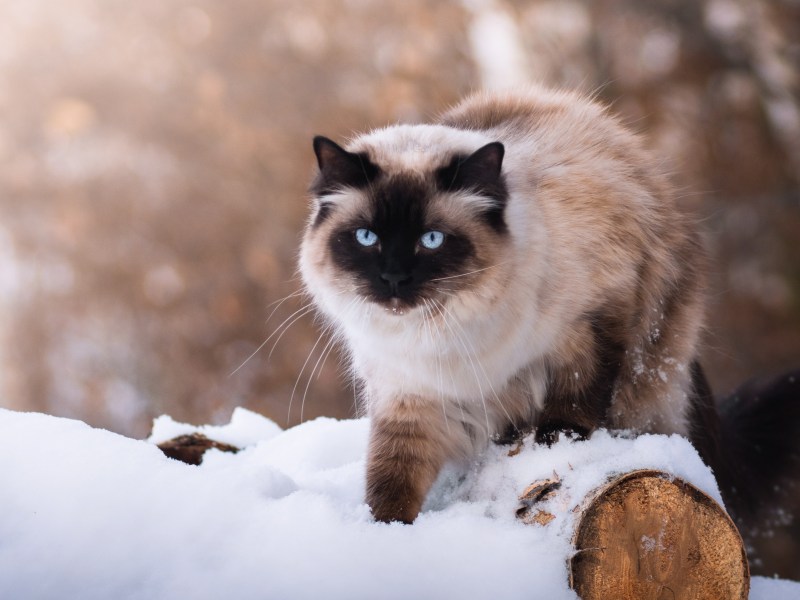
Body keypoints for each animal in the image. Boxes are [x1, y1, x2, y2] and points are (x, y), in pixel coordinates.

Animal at [300, 85, 800, 528]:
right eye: (367, 237)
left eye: (432, 240)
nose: (393, 279)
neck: (446, 331)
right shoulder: (409, 397)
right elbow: (391, 482)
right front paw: (387, 535)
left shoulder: (590, 323)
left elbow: (577, 394)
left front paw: (555, 439)